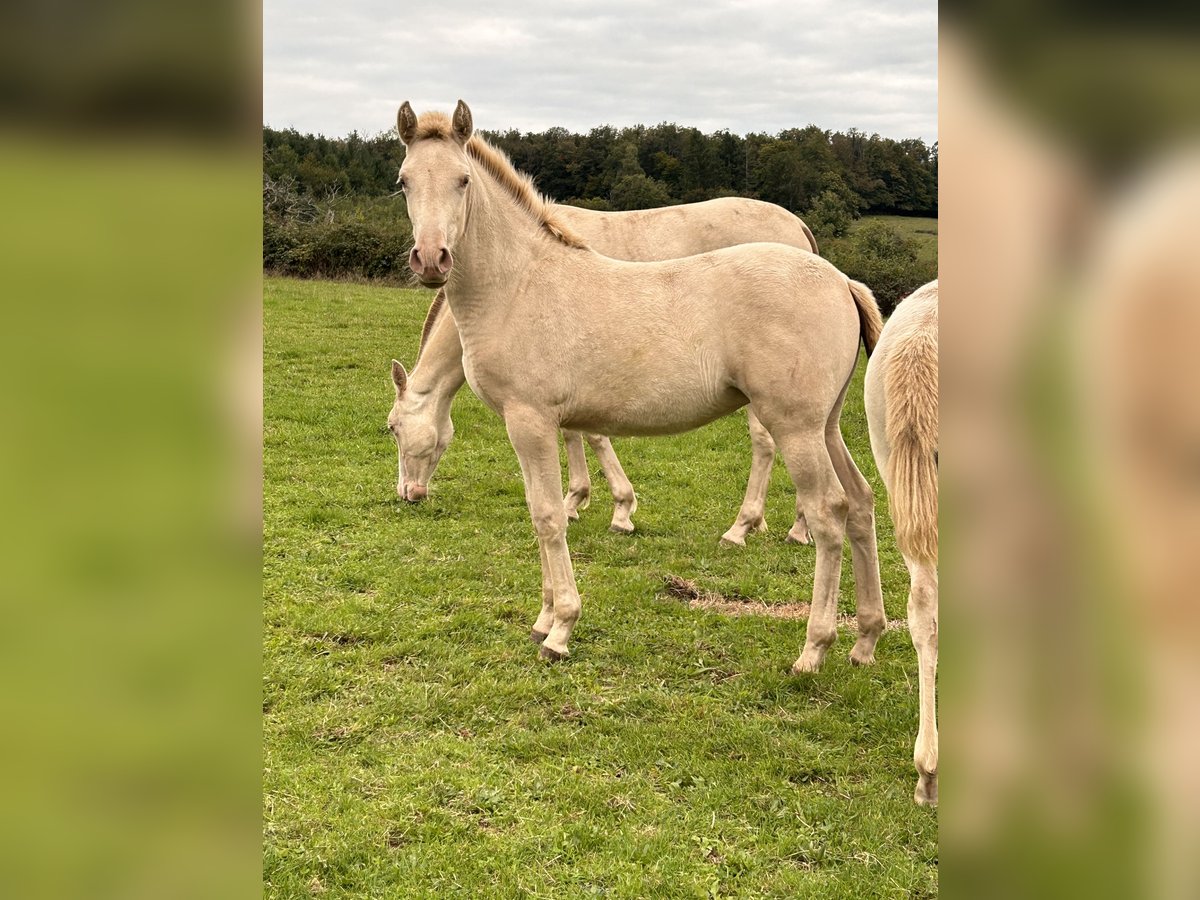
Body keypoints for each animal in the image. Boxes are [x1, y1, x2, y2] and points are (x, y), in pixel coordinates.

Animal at [393, 100, 883, 676]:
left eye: (463, 180)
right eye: (403, 181)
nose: (431, 259)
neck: (520, 284)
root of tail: (841, 280)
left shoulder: (530, 421)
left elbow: (548, 516)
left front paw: (561, 628)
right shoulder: (546, 422)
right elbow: (545, 508)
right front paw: (543, 618)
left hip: (796, 427)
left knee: (829, 511)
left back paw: (812, 646)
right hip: (827, 426)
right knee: (861, 503)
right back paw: (865, 640)